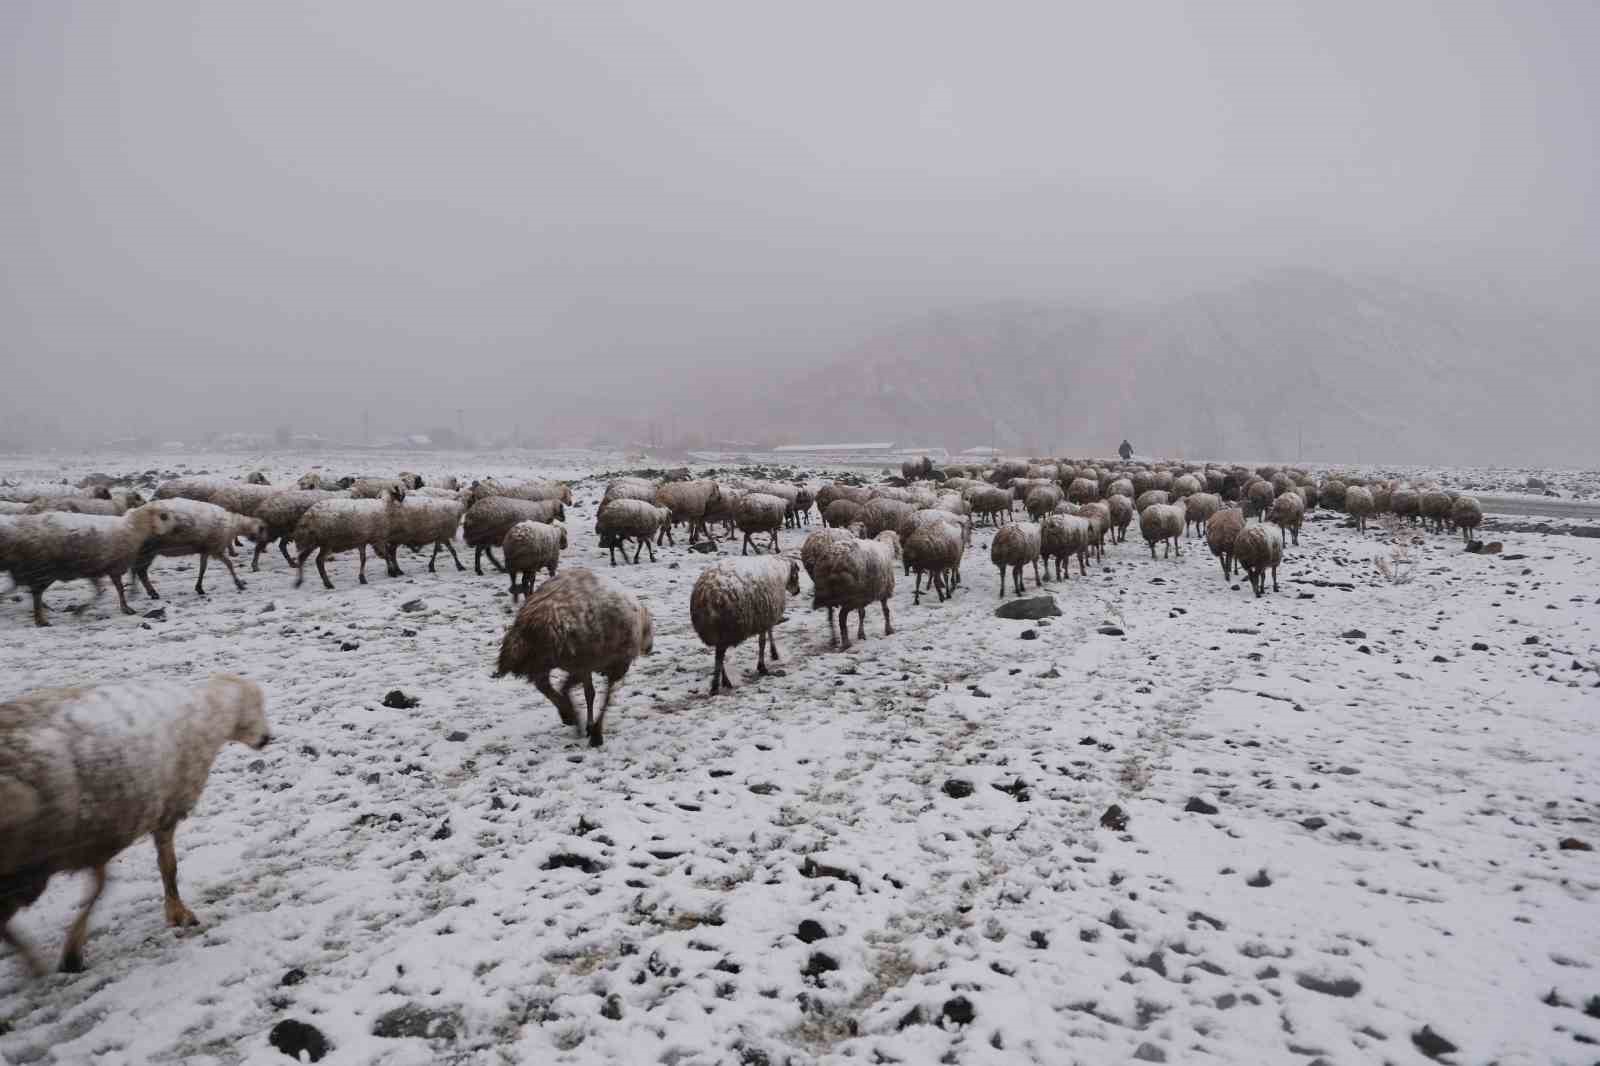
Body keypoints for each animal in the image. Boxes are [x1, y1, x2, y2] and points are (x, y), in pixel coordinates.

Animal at [0, 505, 180, 624]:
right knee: (35, 593)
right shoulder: (114, 567)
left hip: (34, 569)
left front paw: (80, 610)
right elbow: (118, 590)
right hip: (43, 569)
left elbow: (100, 592)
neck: (133, 529)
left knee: (22, 587)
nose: (177, 527)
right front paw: (126, 608)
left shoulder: (95, 569)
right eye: (164, 516)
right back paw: (41, 619)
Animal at [0, 672, 272, 973]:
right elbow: (168, 867)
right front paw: (178, 913)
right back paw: (34, 965)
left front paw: (72, 949)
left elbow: (102, 884)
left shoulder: (96, 838)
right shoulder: (162, 815)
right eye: (255, 705)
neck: (208, 719)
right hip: (25, 863)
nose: (267, 738)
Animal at [492, 563, 656, 745]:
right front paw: (586, 725)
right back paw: (574, 717)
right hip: (570, 660)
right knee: (550, 685)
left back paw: (575, 718)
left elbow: (591, 693)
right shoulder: (591, 664)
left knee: (548, 685)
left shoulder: (587, 665)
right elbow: (593, 694)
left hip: (562, 660)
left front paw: (588, 725)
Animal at [688, 550, 800, 694]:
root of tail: (705, 594)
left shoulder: (765, 616)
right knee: (719, 656)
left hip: (713, 631)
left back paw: (725, 681)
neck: (781, 573)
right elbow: (762, 642)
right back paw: (716, 686)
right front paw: (762, 666)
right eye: (796, 574)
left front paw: (773, 654)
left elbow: (769, 634)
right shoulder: (766, 616)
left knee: (719, 656)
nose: (797, 591)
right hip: (725, 628)